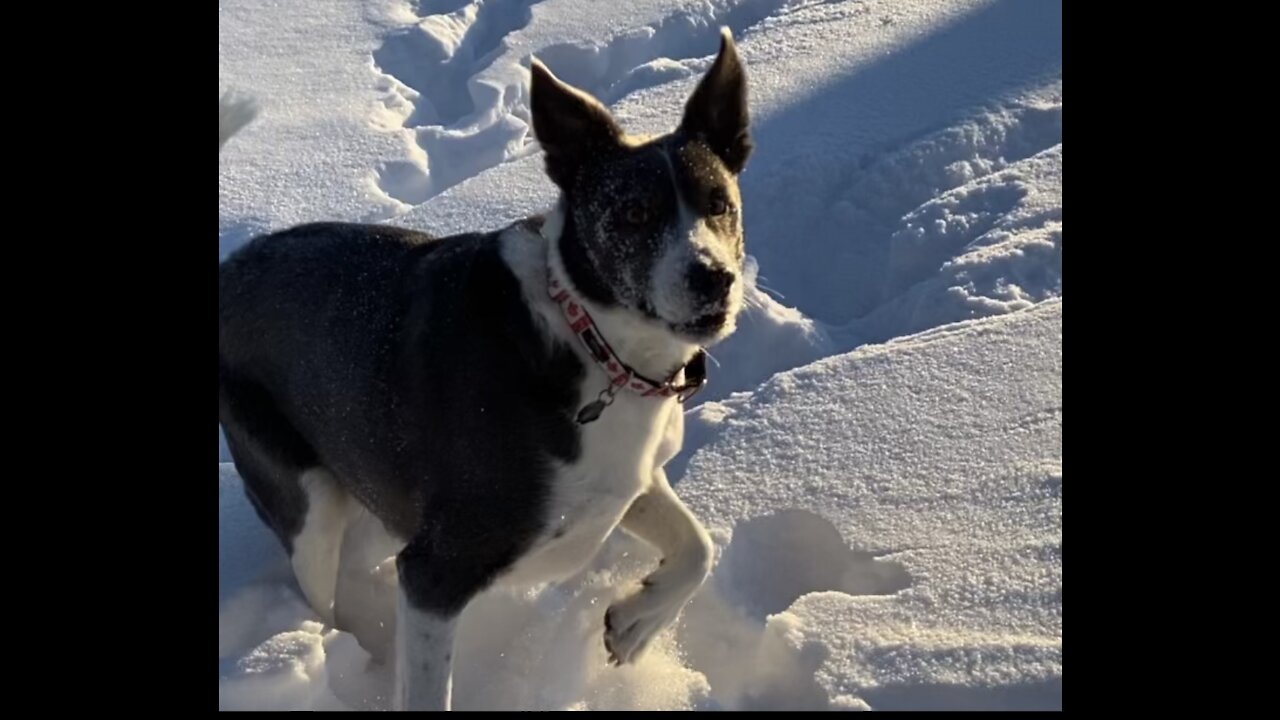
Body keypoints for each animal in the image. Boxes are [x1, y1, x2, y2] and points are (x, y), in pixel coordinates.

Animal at [222, 28, 747, 707]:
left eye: (719, 204)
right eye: (632, 214)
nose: (714, 279)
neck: (591, 342)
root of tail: (230, 266)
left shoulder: (620, 482)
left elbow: (697, 547)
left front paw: (633, 624)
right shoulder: (437, 568)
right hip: (303, 497)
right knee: (321, 586)